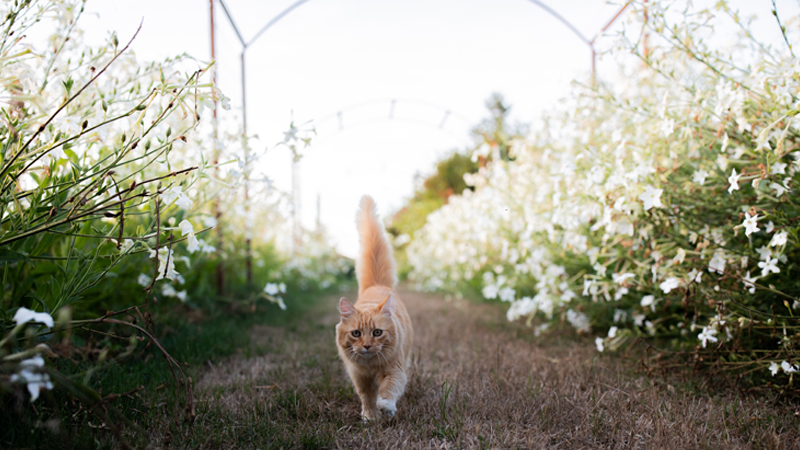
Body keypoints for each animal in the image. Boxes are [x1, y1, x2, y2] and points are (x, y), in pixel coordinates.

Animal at [336, 195, 412, 420]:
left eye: (377, 332)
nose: (368, 346)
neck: (370, 367)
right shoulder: (359, 378)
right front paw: (370, 417)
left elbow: (388, 390)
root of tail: (377, 285)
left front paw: (386, 407)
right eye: (356, 333)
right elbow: (367, 398)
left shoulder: (395, 370)